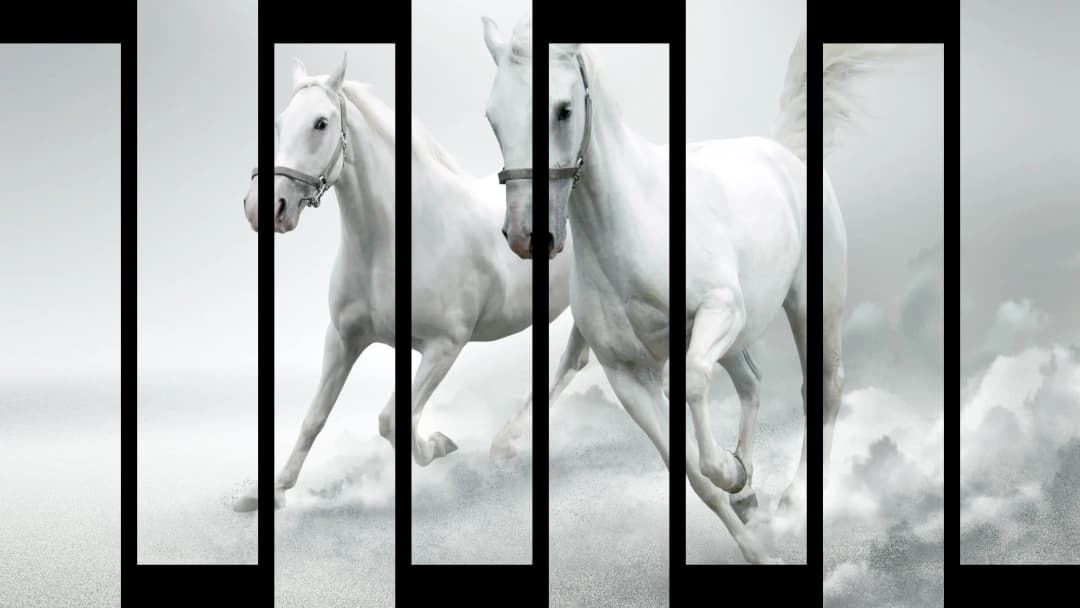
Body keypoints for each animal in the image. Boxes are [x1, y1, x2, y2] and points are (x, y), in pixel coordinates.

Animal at [233, 54, 583, 511]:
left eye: (321, 123)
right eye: (279, 122)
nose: (262, 208)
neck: (401, 236)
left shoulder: (444, 347)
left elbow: (393, 421)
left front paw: (438, 445)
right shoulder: (343, 339)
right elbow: (315, 418)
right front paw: (267, 493)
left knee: (572, 362)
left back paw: (504, 444)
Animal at [482, 18, 808, 563]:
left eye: (562, 109)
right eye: (492, 118)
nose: (528, 235)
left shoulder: (719, 310)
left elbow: (693, 383)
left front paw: (731, 474)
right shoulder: (629, 375)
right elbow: (692, 475)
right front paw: (748, 524)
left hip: (805, 303)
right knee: (752, 382)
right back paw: (749, 492)